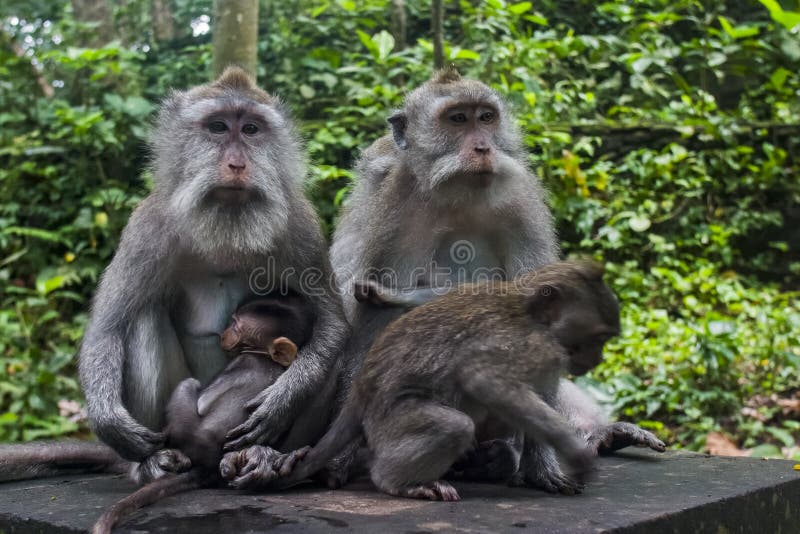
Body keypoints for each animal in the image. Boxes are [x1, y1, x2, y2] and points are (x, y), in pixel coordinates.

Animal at [90, 298, 310, 534]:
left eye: (235, 326)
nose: (223, 334)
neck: (266, 357)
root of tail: (206, 462)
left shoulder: (239, 360)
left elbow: (204, 401)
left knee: (188, 384)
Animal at [247, 262, 620, 500]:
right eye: (599, 338)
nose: (597, 359)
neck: (532, 313)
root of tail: (360, 391)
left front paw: (385, 294)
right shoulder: (532, 346)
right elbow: (483, 379)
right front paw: (576, 452)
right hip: (389, 422)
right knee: (454, 426)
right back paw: (396, 482)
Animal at [324, 71, 664, 494]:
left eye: (485, 117)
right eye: (457, 120)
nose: (483, 147)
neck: (464, 196)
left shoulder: (521, 202)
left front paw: (543, 464)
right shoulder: (398, 213)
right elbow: (376, 324)